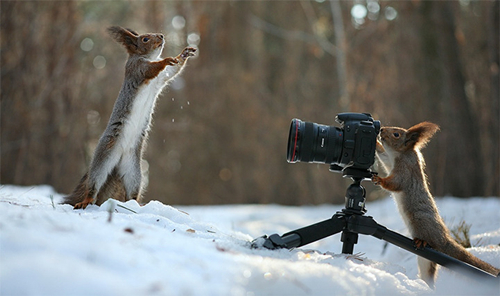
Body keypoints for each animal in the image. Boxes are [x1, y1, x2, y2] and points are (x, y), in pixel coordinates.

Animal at [66, 26, 197, 209]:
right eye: (145, 39)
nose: (161, 36)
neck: (148, 57)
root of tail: (119, 160)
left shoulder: (160, 80)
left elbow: (172, 72)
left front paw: (184, 54)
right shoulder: (136, 69)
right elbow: (150, 69)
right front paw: (165, 60)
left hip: (134, 172)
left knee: (132, 193)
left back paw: (136, 205)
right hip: (104, 158)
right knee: (94, 183)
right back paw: (86, 201)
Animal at [374, 122, 498, 286]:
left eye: (396, 134)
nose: (381, 130)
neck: (400, 154)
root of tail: (443, 240)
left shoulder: (405, 171)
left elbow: (395, 183)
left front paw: (379, 180)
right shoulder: (389, 160)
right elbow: (383, 155)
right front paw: (376, 143)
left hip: (422, 224)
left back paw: (422, 242)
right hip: (425, 261)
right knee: (428, 273)